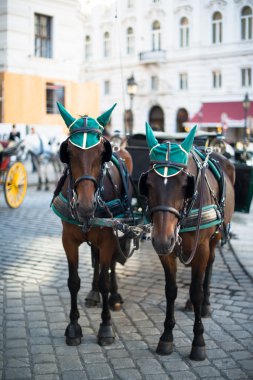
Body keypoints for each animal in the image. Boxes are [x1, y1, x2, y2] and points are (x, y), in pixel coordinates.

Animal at [52, 102, 133, 346]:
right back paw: (93, 293)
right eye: (68, 152)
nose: (86, 206)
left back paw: (114, 297)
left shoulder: (108, 238)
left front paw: (105, 328)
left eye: (100, 154)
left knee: (111, 263)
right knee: (96, 259)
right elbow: (73, 281)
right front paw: (73, 327)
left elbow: (107, 276)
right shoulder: (68, 241)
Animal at [138, 123, 235, 360]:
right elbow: (171, 291)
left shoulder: (201, 248)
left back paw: (205, 305)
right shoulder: (166, 252)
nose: (162, 240)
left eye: (185, 184)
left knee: (208, 268)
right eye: (149, 184)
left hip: (215, 238)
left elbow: (196, 290)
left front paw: (198, 342)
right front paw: (166, 337)